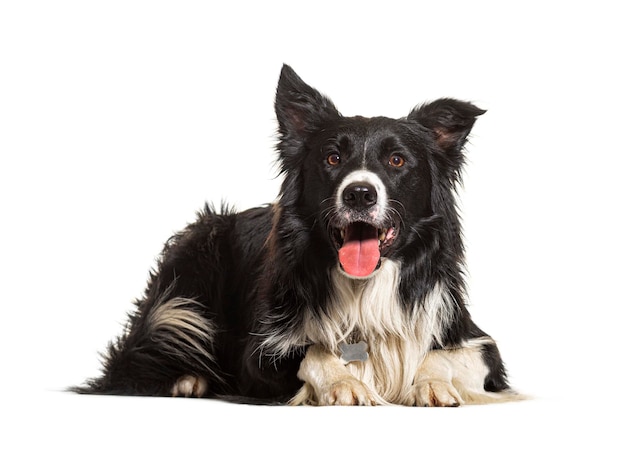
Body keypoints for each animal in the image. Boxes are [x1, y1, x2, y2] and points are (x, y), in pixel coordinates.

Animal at [74, 63, 520, 406]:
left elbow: (445, 357)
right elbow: (314, 350)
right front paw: (344, 381)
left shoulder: (478, 342)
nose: (360, 193)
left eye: (397, 160)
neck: (365, 287)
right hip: (195, 260)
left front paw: (430, 383)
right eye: (332, 157)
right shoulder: (259, 352)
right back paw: (189, 380)